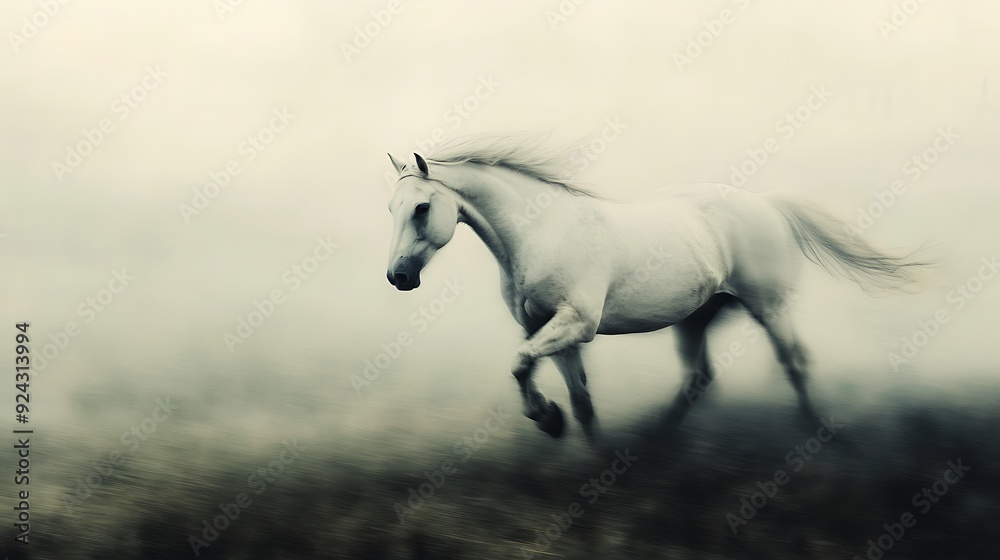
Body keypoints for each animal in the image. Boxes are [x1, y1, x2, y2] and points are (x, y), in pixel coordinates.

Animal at [382, 134, 929, 440]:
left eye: (422, 207)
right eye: (392, 207)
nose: (398, 278)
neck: (539, 233)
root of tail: (767, 205)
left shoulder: (575, 326)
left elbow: (519, 365)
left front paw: (546, 418)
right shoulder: (548, 331)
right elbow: (578, 400)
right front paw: (578, 443)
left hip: (768, 308)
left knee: (794, 362)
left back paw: (815, 435)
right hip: (697, 318)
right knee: (699, 379)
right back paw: (651, 444)